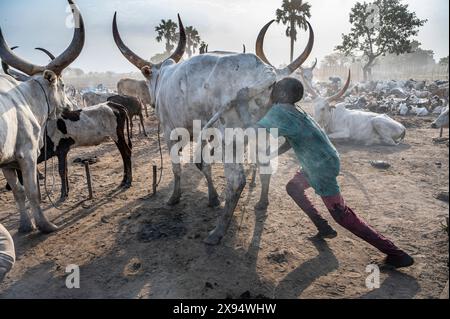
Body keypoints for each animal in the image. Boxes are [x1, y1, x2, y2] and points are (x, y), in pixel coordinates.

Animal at [0, 0, 85, 235]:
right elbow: (32, 192)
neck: (25, 99)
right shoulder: (26, 155)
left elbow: (19, 192)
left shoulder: (8, 163)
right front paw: (44, 225)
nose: (72, 108)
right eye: (62, 85)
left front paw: (25, 225)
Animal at [113, 13, 312, 245]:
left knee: (236, 181)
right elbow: (202, 163)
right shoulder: (204, 133)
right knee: (265, 166)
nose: (152, 100)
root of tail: (267, 72)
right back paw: (262, 203)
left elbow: (177, 167)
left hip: (230, 139)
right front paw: (213, 197)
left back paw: (218, 232)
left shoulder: (171, 131)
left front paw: (174, 197)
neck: (164, 76)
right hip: (262, 134)